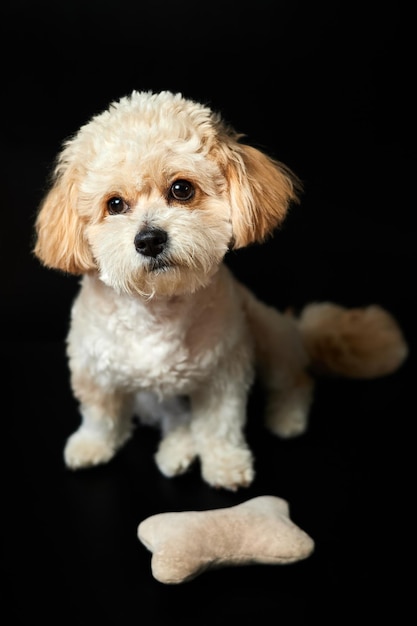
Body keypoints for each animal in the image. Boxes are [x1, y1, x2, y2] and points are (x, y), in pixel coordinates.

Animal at [32, 89, 406, 488]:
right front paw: (91, 445)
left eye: (182, 189)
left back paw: (286, 416)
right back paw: (177, 447)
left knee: (295, 379)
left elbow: (219, 424)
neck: (159, 307)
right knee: (173, 415)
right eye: (114, 204)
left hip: (268, 336)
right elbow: (99, 415)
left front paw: (225, 463)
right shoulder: (93, 369)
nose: (149, 240)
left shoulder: (224, 372)